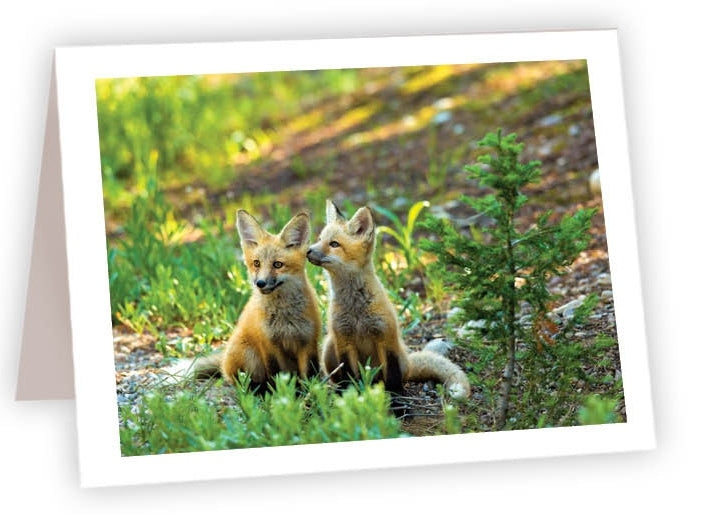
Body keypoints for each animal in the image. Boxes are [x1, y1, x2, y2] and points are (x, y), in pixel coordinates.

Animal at [165, 210, 322, 391]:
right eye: (256, 263)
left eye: (277, 264)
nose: (260, 283)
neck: (285, 316)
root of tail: (224, 360)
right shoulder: (268, 345)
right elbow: (275, 375)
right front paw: (280, 395)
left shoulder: (308, 342)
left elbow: (310, 375)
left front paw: (312, 393)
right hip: (249, 354)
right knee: (243, 380)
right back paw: (256, 390)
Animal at [306, 199, 470, 401]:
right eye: (320, 238)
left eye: (334, 244)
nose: (307, 251)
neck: (356, 310)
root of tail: (409, 362)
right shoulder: (343, 340)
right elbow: (348, 375)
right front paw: (349, 395)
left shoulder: (385, 338)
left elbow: (392, 378)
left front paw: (397, 401)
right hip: (330, 346)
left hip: (396, 356)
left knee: (391, 379)